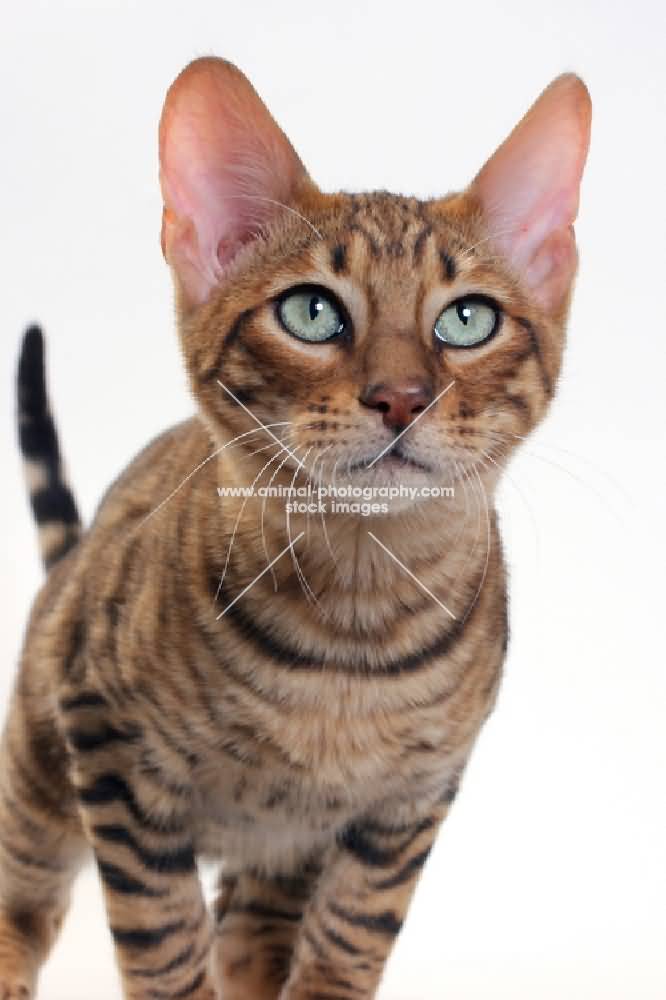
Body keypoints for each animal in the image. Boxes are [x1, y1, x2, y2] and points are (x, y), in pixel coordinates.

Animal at [0, 60, 588, 1000]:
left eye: (467, 320)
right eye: (312, 313)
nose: (402, 397)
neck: (351, 632)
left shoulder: (410, 804)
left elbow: (348, 936)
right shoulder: (111, 748)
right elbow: (164, 941)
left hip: (277, 855)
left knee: (252, 930)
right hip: (42, 758)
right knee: (25, 892)